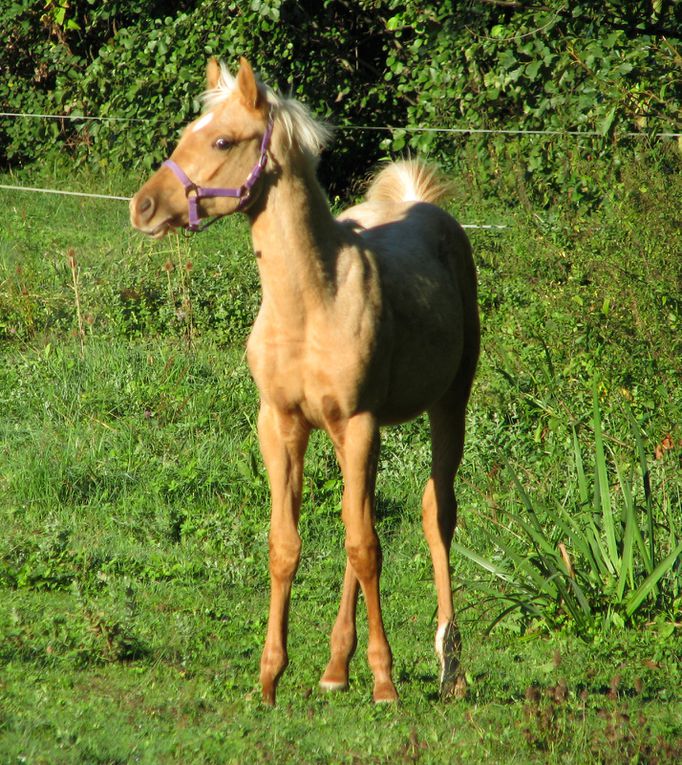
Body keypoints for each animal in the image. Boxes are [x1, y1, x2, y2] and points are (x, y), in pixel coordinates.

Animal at [129, 58, 478, 704]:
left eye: (222, 140)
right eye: (189, 130)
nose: (143, 207)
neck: (311, 303)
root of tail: (421, 204)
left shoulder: (360, 422)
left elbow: (367, 547)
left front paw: (385, 683)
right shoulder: (282, 424)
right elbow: (288, 544)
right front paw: (270, 678)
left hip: (448, 404)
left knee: (435, 513)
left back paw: (451, 667)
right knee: (359, 518)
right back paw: (336, 668)